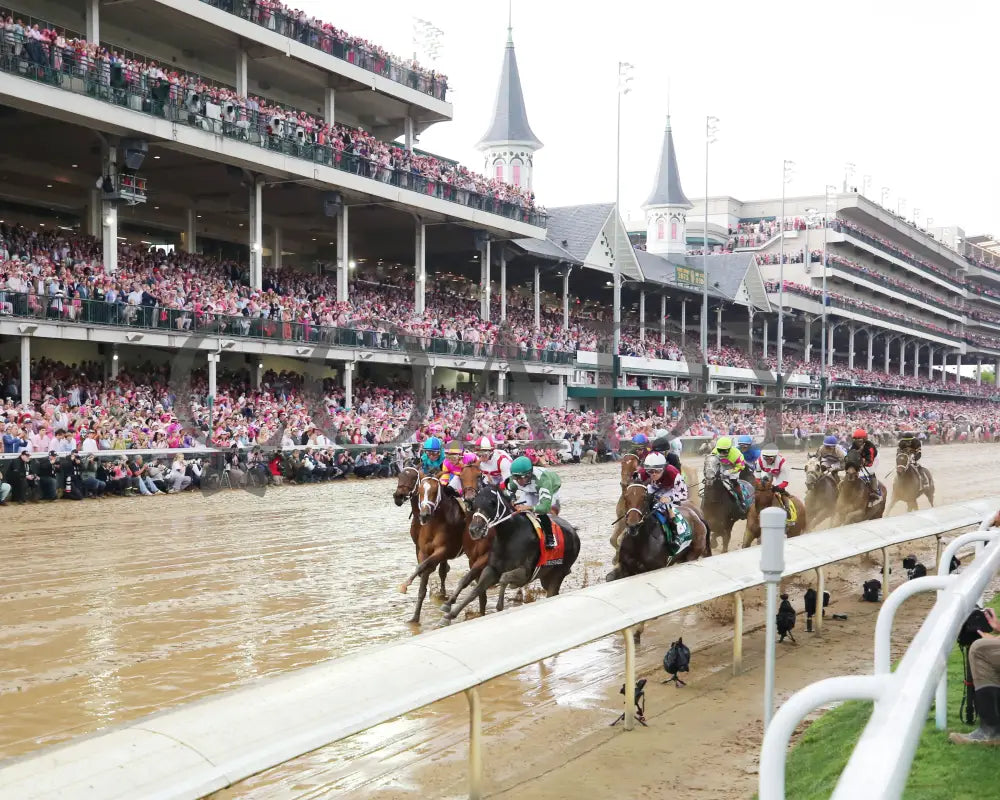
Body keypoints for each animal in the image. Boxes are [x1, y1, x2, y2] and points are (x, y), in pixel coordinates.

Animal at [396, 476, 466, 624]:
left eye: (435, 491)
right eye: (421, 491)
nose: (424, 514)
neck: (435, 525)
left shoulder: (443, 550)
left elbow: (422, 566)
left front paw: (405, 584)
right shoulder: (423, 551)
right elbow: (422, 583)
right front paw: (415, 617)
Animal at [442, 482, 584, 624]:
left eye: (492, 503)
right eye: (474, 503)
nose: (474, 530)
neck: (510, 535)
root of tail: (574, 531)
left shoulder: (526, 572)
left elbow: (504, 578)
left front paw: (500, 605)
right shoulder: (492, 568)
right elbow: (475, 590)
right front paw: (449, 615)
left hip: (558, 573)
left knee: (552, 591)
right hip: (546, 576)